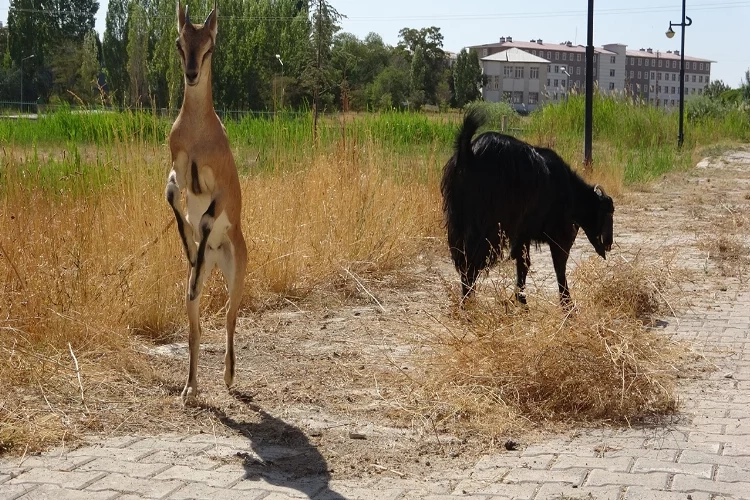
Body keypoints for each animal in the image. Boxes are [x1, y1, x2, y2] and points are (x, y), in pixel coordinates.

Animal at [444, 110, 612, 306]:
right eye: (607, 212)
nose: (608, 244)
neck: (570, 189)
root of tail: (469, 152)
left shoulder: (523, 234)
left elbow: (523, 263)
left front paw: (521, 300)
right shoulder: (559, 234)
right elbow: (559, 264)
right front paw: (567, 304)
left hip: (457, 221)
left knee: (463, 259)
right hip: (486, 227)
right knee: (471, 261)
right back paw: (468, 303)